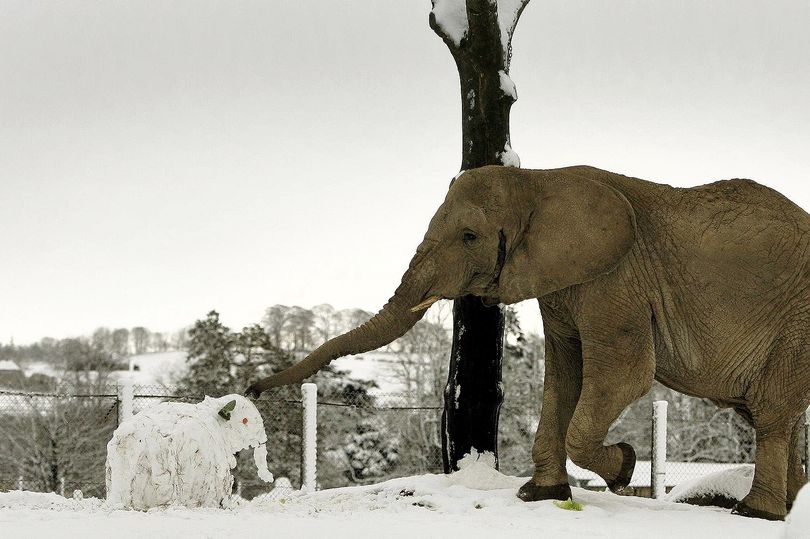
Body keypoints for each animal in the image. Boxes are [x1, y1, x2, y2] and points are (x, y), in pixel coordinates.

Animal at [247, 165, 810, 520]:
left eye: (470, 236)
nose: (251, 390)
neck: (539, 179)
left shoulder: (617, 279)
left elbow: (623, 375)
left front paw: (625, 466)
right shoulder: (562, 282)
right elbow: (563, 375)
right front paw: (539, 496)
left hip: (798, 319)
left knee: (771, 411)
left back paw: (754, 513)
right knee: (776, 416)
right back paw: (783, 506)